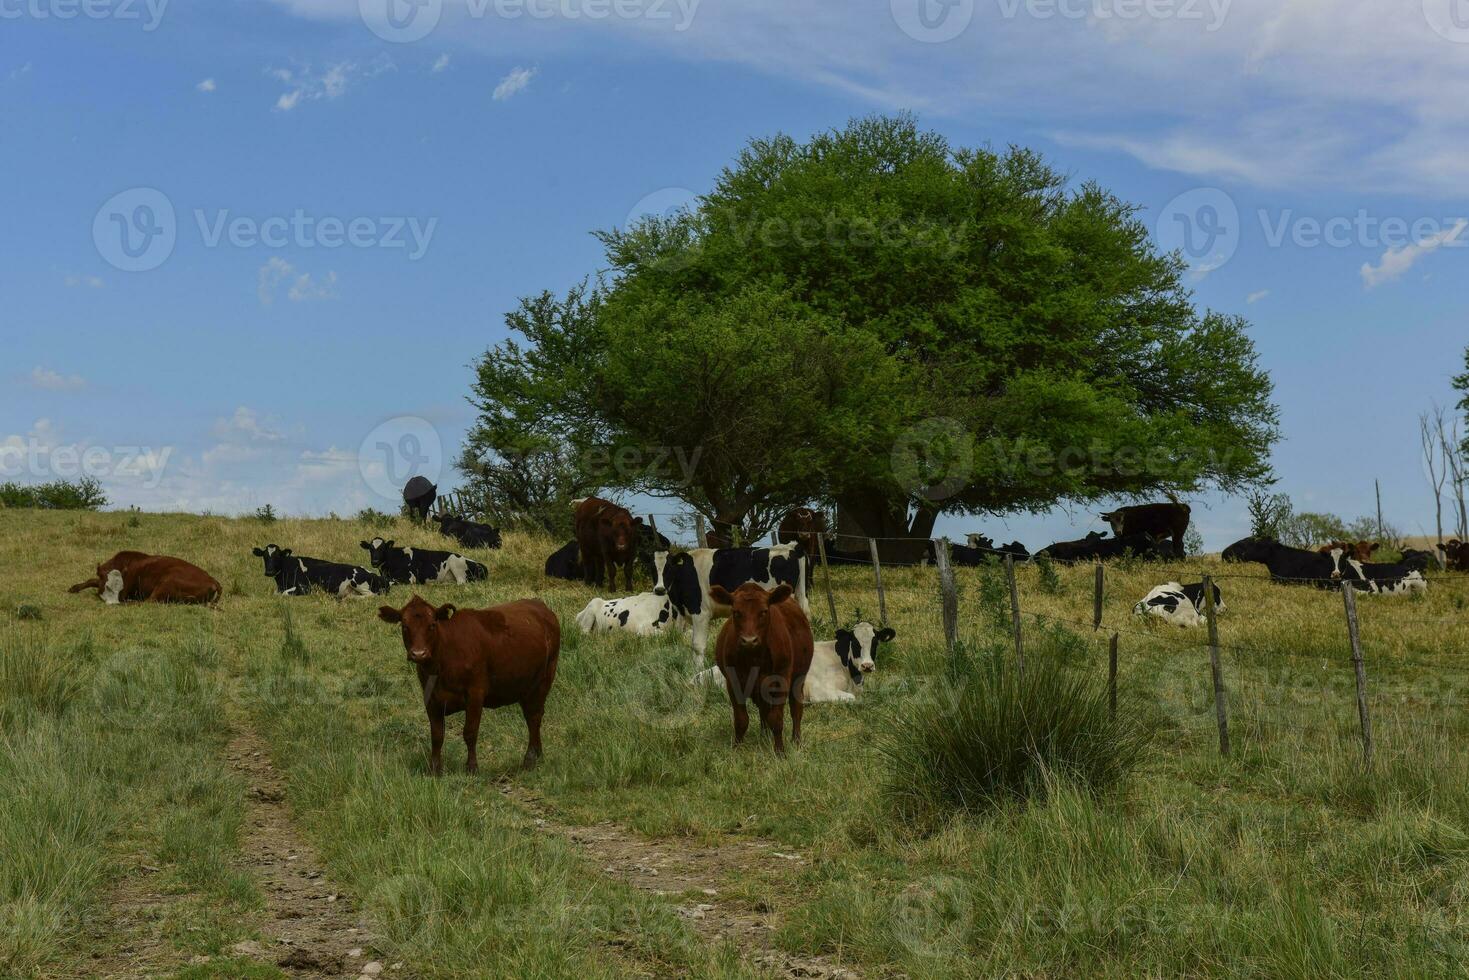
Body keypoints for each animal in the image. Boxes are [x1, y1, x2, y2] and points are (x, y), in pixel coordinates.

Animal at [252, 543, 390, 599]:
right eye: (265, 556)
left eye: (277, 556)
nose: (269, 572)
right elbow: (276, 594)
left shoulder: (305, 588)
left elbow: (284, 594)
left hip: (358, 582)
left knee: (371, 595)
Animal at [358, 540, 490, 587]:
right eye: (370, 549)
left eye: (383, 549)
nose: (375, 562)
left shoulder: (410, 578)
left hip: (455, 562)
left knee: (460, 582)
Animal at [376, 593, 558, 775]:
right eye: (404, 626)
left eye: (432, 625)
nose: (419, 654)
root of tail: (538, 605)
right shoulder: (430, 699)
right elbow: (437, 735)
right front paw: (434, 769)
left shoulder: (475, 693)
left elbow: (470, 732)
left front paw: (472, 767)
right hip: (524, 686)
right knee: (531, 715)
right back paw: (538, 754)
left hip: (544, 679)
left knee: (534, 717)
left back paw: (530, 758)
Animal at [658, 543, 816, 667]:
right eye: (653, 567)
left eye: (669, 568)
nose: (659, 589)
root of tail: (791, 546)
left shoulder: (700, 613)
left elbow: (697, 645)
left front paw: (697, 669)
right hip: (801, 594)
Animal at [710, 581, 816, 758]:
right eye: (736, 612)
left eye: (764, 611)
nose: (749, 640)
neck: (754, 659)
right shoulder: (733, 682)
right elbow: (741, 719)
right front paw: (737, 749)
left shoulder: (781, 681)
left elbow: (777, 719)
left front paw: (780, 752)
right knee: (763, 709)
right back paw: (764, 736)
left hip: (799, 676)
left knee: (796, 709)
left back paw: (796, 741)